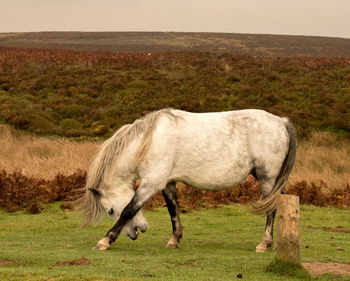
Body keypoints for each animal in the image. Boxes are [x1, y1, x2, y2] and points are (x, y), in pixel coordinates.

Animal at [78, 107, 296, 252]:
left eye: (110, 210)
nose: (136, 233)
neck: (148, 143)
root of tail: (281, 122)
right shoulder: (167, 183)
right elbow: (173, 210)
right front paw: (175, 240)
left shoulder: (151, 184)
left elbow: (130, 209)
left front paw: (105, 241)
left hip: (267, 178)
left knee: (271, 209)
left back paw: (264, 243)